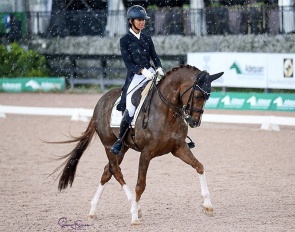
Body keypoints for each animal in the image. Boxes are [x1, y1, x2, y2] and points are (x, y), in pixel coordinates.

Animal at [53, 65, 224, 225]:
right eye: (197, 95)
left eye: (208, 97)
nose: (195, 122)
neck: (165, 112)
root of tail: (100, 102)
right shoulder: (146, 153)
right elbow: (140, 185)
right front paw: (134, 217)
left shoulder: (179, 148)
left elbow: (199, 167)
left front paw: (208, 205)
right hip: (109, 146)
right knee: (116, 171)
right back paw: (134, 207)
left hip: (122, 147)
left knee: (107, 171)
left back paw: (93, 211)